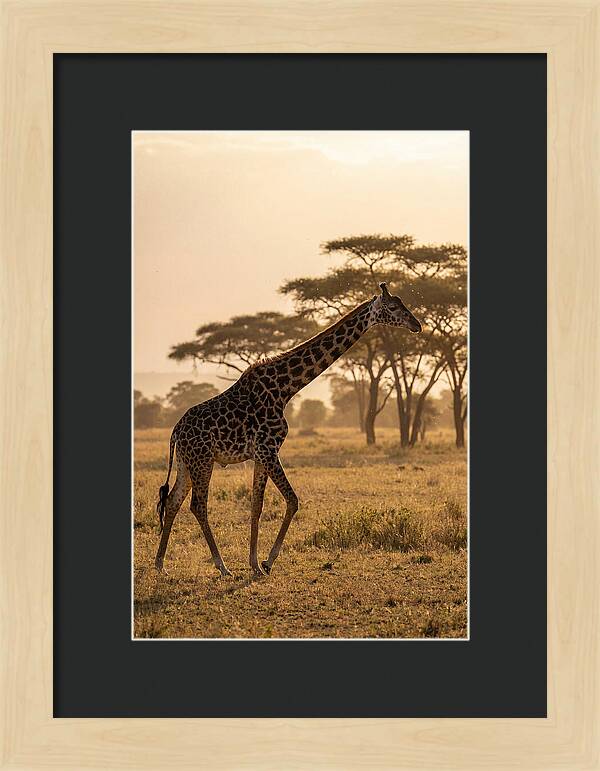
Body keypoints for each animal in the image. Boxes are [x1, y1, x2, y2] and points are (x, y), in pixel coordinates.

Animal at [154, 282, 421, 578]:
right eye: (394, 307)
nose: (417, 325)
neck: (285, 389)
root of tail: (176, 430)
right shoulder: (268, 448)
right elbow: (293, 500)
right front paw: (268, 561)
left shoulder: (261, 454)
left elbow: (256, 505)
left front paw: (254, 564)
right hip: (202, 460)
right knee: (198, 505)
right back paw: (222, 567)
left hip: (186, 462)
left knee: (173, 501)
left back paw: (160, 564)